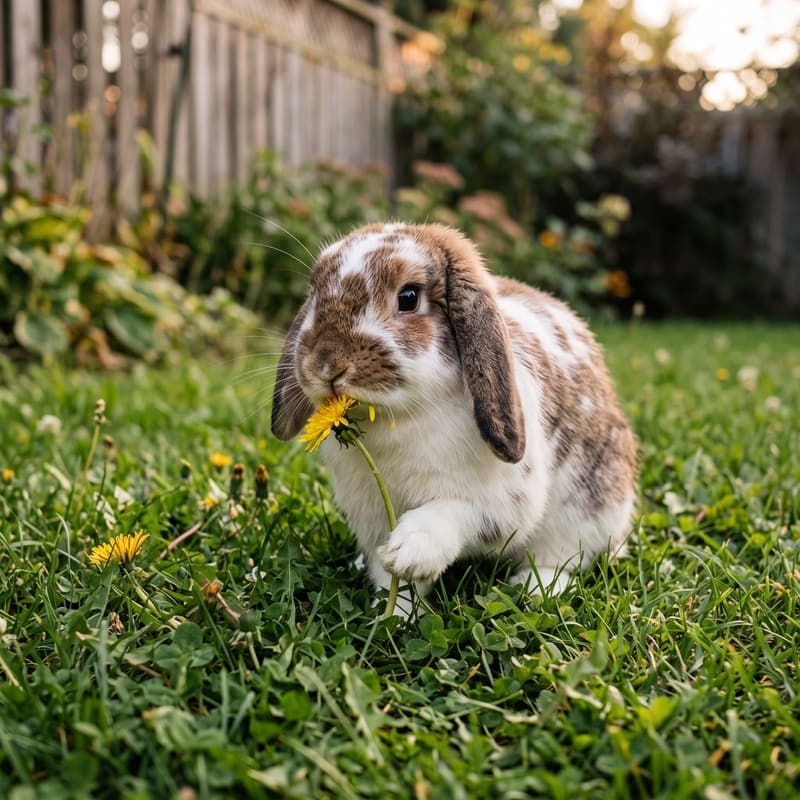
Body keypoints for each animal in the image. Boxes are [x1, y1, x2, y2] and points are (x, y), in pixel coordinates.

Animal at [271, 223, 637, 614]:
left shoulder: (500, 504)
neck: (397, 417)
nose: (326, 364)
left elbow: (453, 513)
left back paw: (537, 588)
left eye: (409, 297)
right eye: (314, 292)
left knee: (565, 558)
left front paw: (409, 551)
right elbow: (393, 583)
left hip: (585, 511)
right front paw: (392, 614)